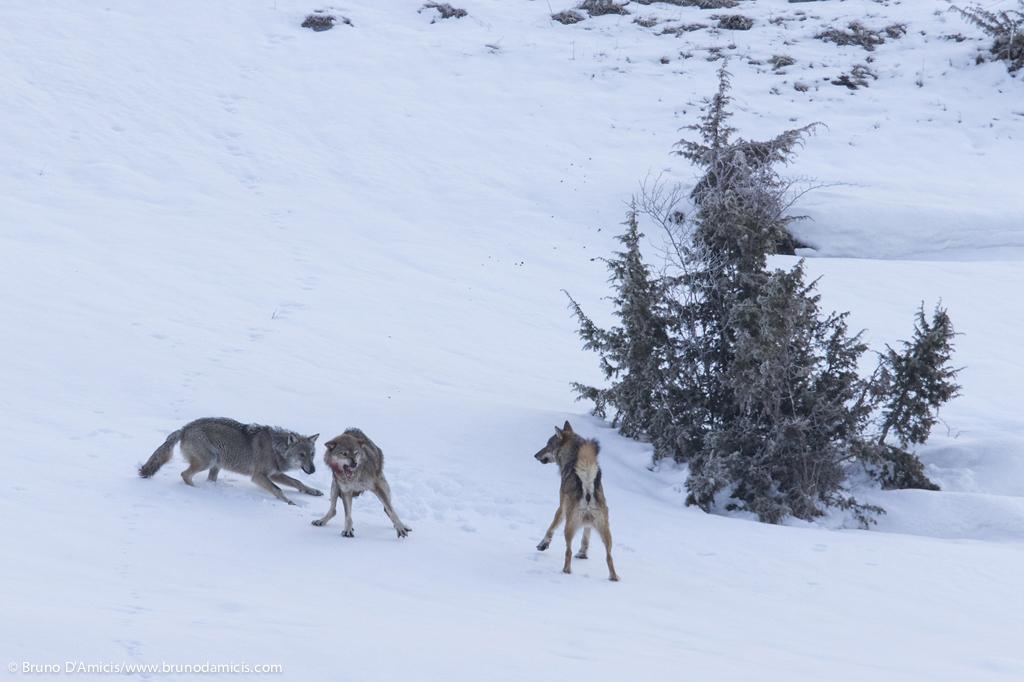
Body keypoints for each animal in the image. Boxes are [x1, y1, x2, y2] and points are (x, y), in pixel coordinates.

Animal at [137, 413, 319, 503]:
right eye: (301, 455)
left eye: (312, 454)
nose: (313, 470)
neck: (276, 448)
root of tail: (184, 428)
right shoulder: (259, 476)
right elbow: (278, 489)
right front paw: (290, 502)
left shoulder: (274, 474)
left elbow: (297, 482)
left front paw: (314, 491)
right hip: (209, 461)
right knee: (184, 474)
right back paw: (197, 490)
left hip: (216, 464)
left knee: (205, 478)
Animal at [532, 419, 618, 577]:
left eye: (547, 444)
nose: (535, 455)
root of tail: (588, 490)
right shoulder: (588, 525)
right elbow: (585, 538)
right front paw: (582, 554)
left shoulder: (561, 508)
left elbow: (550, 528)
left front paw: (543, 544)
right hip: (606, 533)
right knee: (609, 557)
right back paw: (613, 578)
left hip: (568, 528)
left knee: (568, 552)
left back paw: (566, 571)